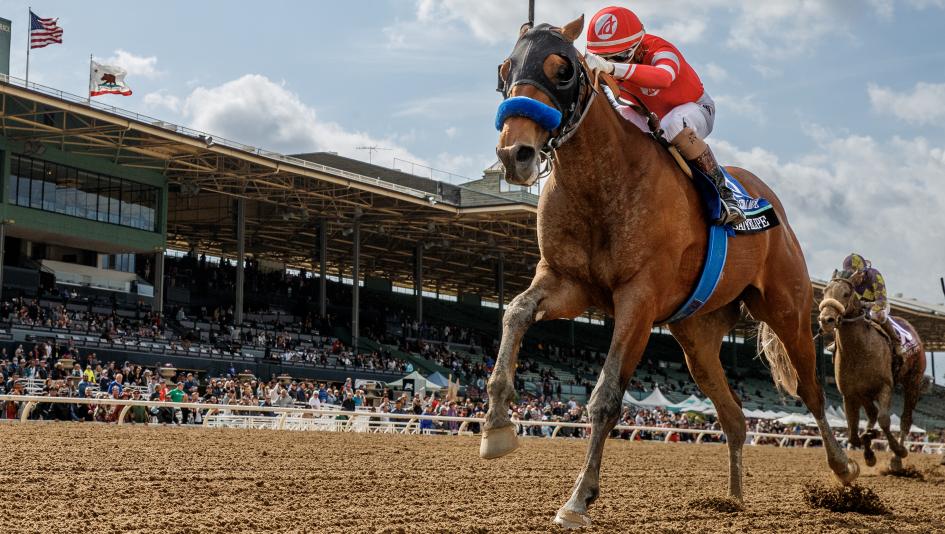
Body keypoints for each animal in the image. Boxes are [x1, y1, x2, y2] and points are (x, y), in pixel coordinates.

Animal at [482, 16, 858, 528]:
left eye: (563, 70)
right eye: (505, 69)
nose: (514, 154)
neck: (603, 179)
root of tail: (769, 203)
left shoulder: (638, 299)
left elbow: (606, 396)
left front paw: (578, 499)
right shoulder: (567, 282)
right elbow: (515, 313)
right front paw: (496, 425)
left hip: (789, 310)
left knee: (813, 392)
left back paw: (844, 469)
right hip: (697, 339)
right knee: (734, 416)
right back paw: (732, 499)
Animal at [817, 275, 927, 471]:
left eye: (846, 293)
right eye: (824, 291)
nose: (826, 320)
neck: (859, 350)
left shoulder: (885, 387)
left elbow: (884, 420)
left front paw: (898, 450)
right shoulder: (850, 394)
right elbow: (854, 435)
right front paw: (869, 450)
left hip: (913, 381)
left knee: (905, 420)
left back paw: (897, 459)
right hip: (866, 394)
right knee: (872, 415)